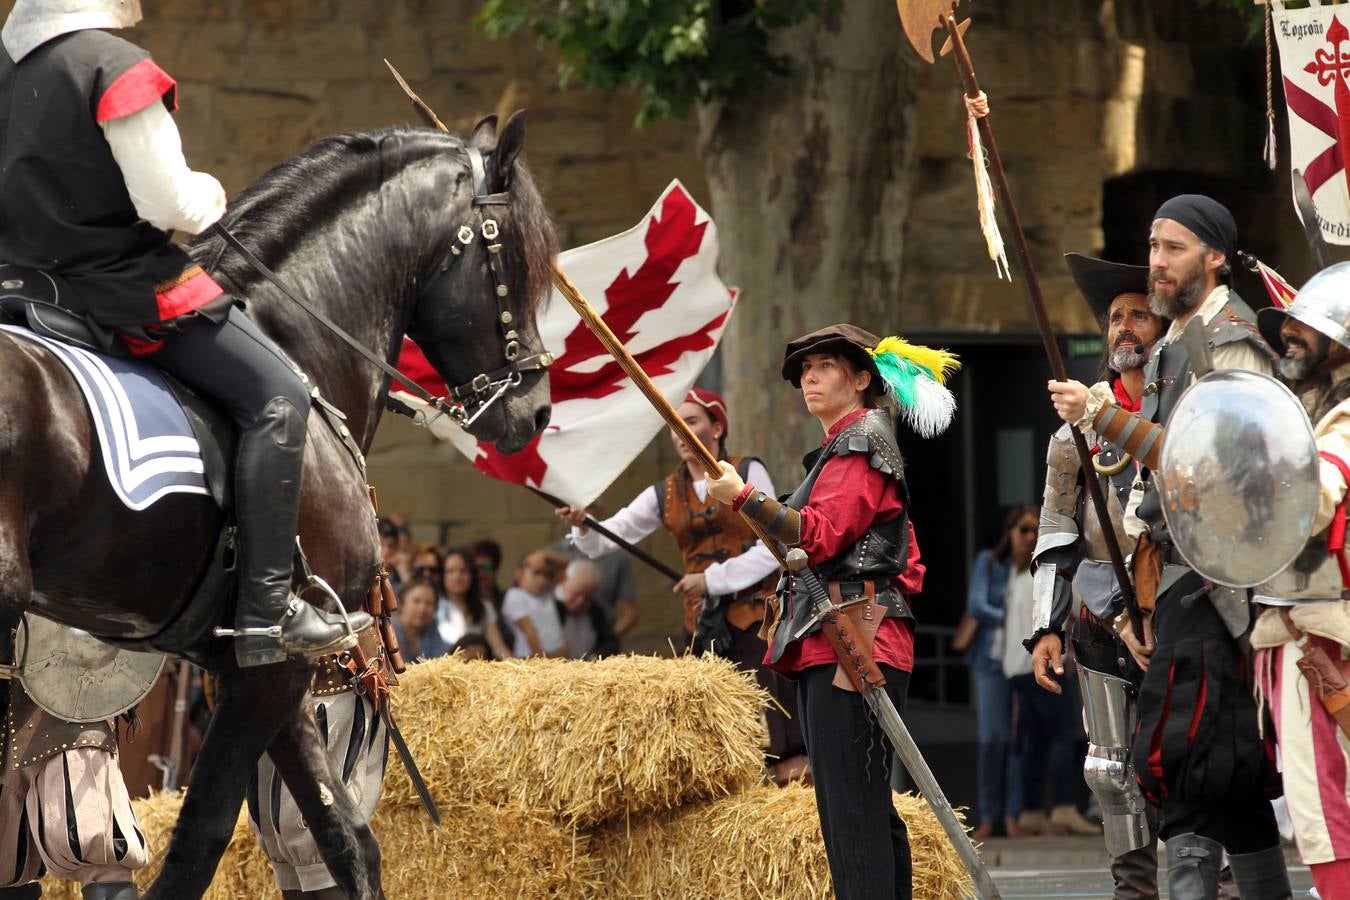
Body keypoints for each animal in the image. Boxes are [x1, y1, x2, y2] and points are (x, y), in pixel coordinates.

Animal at [0, 112, 553, 900]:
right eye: (511, 261)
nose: (535, 411)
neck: (297, 337)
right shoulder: (267, 671)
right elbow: (200, 840)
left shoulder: (275, 679)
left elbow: (347, 840)